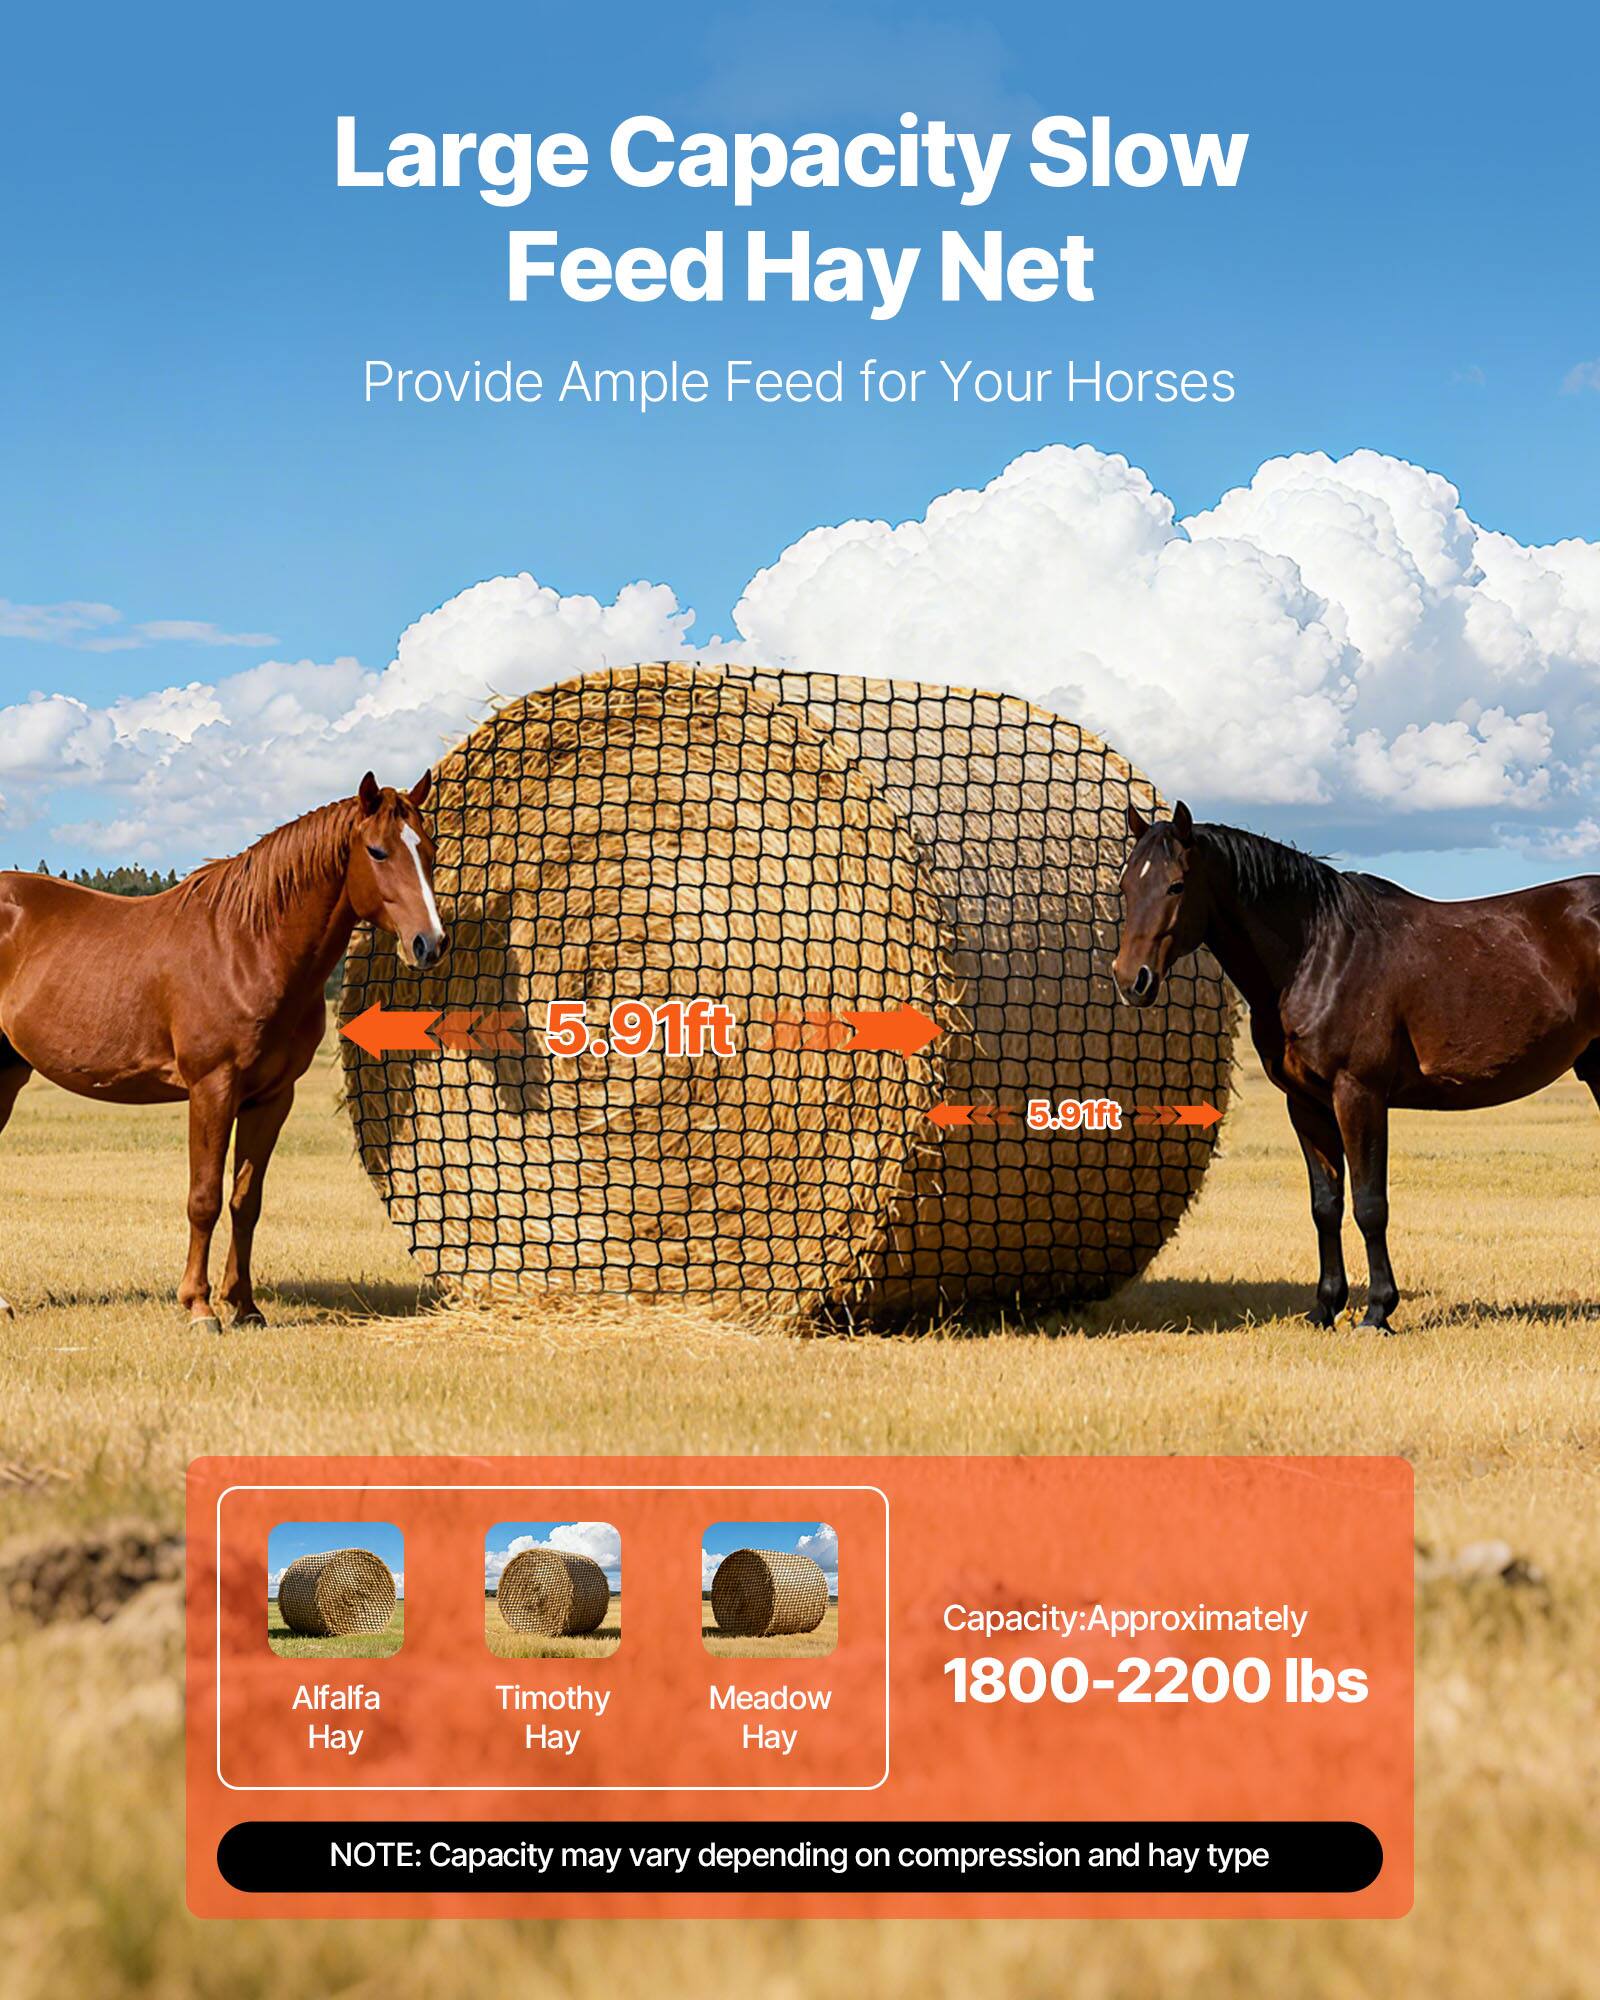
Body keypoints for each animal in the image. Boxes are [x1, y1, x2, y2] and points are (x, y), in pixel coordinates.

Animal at [0, 773, 447, 1332]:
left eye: (428, 850)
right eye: (378, 850)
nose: (431, 943)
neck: (247, 947)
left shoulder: (271, 1098)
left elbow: (245, 1201)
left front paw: (246, 1306)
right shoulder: (212, 1087)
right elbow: (204, 1198)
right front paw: (199, 1306)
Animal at [1112, 801, 1600, 1331]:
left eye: (1176, 885)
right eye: (1125, 885)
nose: (1130, 979)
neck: (1320, 955)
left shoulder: (1358, 1094)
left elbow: (1370, 1204)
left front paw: (1377, 1311)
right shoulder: (1305, 1104)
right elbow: (1325, 1205)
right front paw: (1326, 1306)